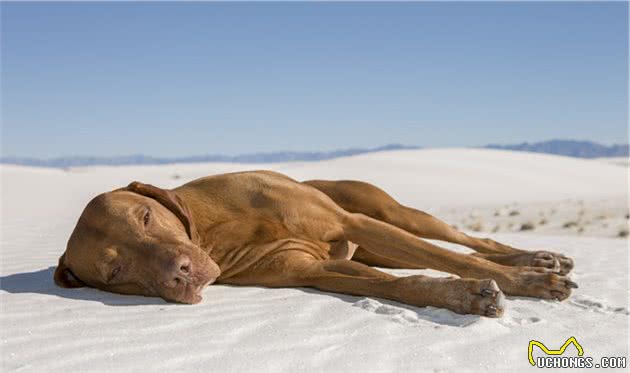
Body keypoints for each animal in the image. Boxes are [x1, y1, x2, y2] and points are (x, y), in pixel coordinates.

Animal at [54, 170, 576, 316]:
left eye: (144, 217)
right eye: (116, 271)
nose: (180, 273)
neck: (213, 231)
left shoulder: (352, 223)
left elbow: (446, 257)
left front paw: (529, 282)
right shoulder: (313, 271)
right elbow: (399, 285)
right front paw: (466, 296)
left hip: (389, 215)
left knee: (464, 240)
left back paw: (540, 258)